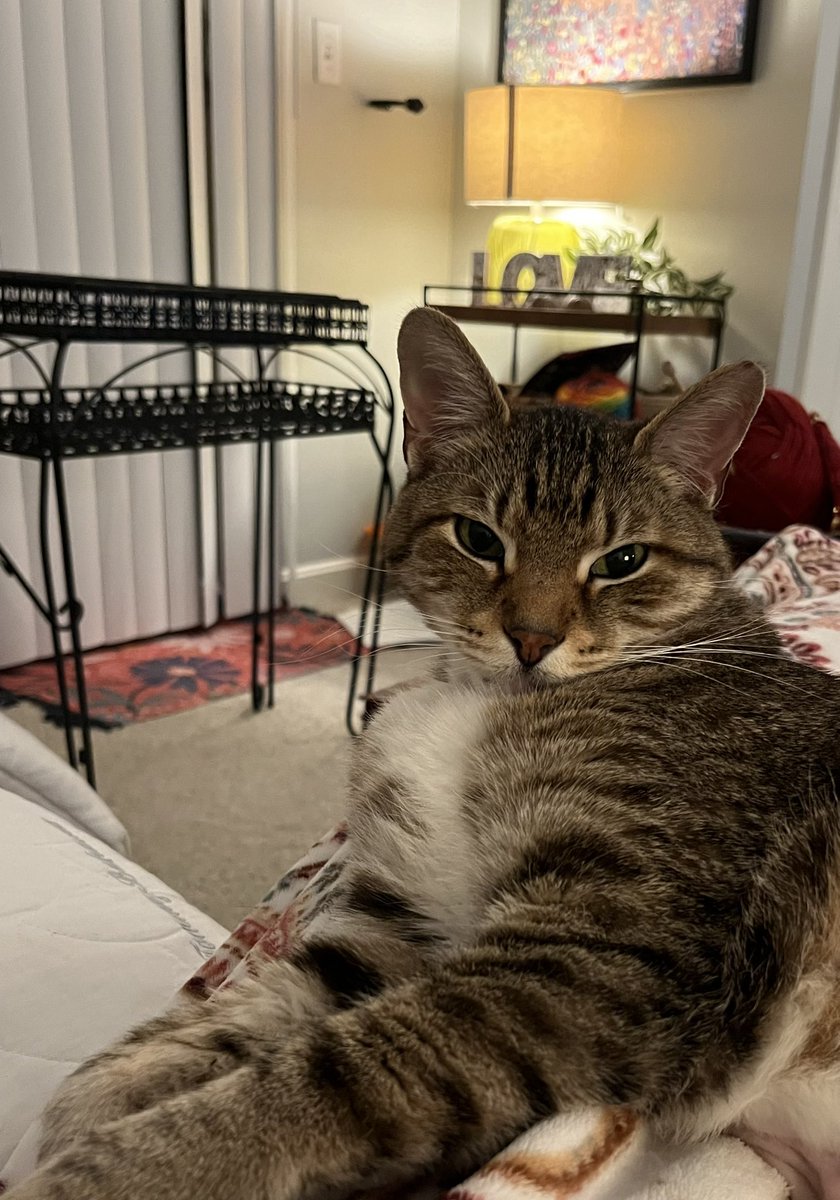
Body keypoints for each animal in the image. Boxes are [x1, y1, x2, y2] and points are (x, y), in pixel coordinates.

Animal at [11, 309, 840, 1200]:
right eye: (478, 538)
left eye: (623, 562)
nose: (532, 639)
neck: (482, 698)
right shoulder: (400, 922)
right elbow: (254, 1005)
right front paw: (108, 1085)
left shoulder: (593, 960)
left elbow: (320, 1082)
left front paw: (108, 1172)